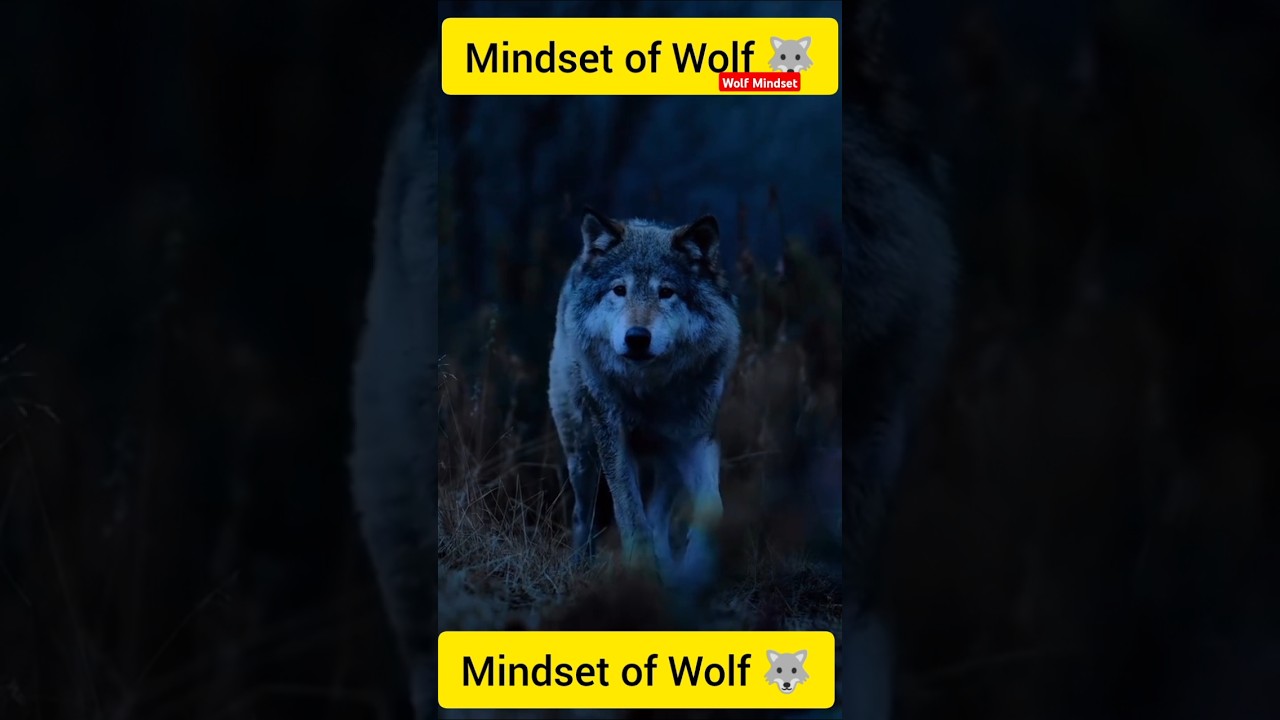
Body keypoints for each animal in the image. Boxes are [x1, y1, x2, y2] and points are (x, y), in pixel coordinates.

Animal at [548, 208, 740, 587]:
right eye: (619, 290)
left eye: (666, 292)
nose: (637, 337)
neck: (651, 391)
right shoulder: (612, 436)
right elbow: (630, 513)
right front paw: (642, 570)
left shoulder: (696, 438)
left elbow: (711, 507)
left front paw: (694, 566)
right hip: (582, 451)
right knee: (583, 512)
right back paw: (582, 564)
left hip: (668, 461)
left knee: (658, 513)